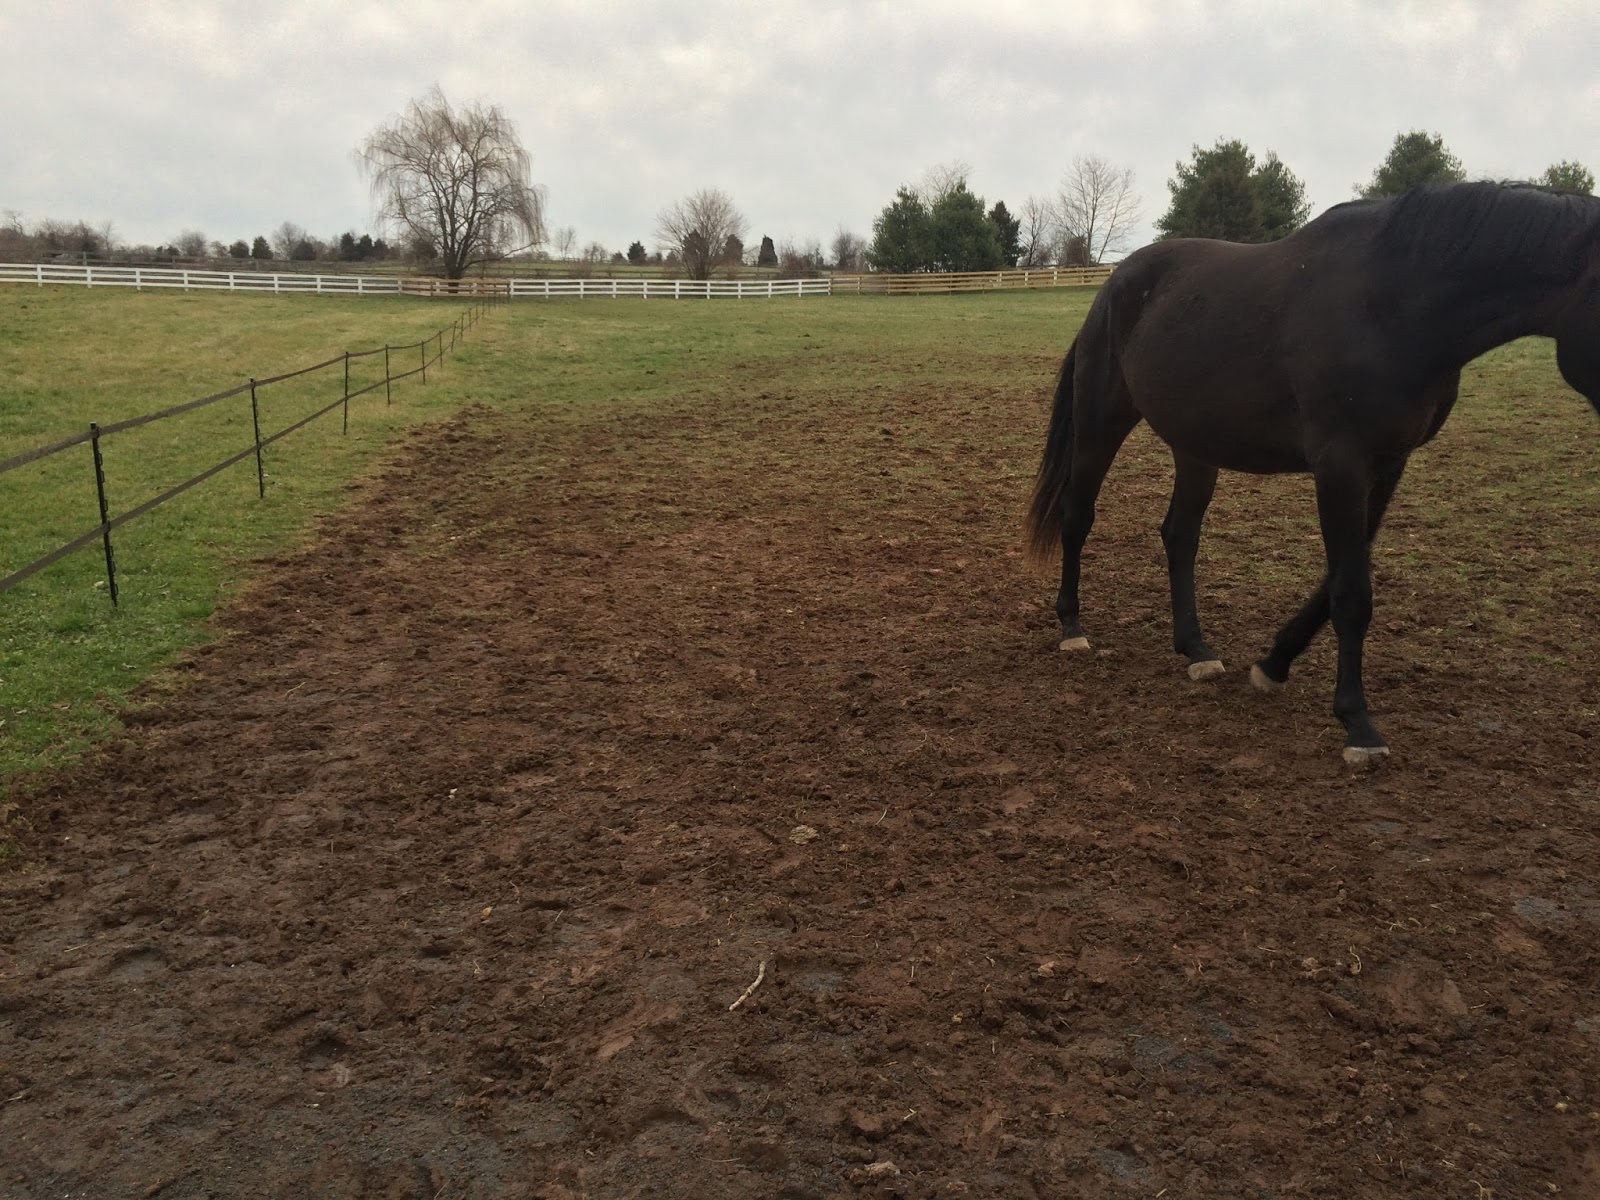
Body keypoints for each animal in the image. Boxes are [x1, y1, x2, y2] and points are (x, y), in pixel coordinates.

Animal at [1025, 181, 1600, 766]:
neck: (1394, 301)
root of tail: (1116, 283)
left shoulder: (1387, 463)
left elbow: (1338, 579)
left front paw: (1274, 663)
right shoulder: (1340, 462)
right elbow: (1351, 592)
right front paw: (1358, 724)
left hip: (1196, 445)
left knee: (1179, 535)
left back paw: (1195, 648)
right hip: (1101, 423)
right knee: (1078, 517)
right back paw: (1072, 626)